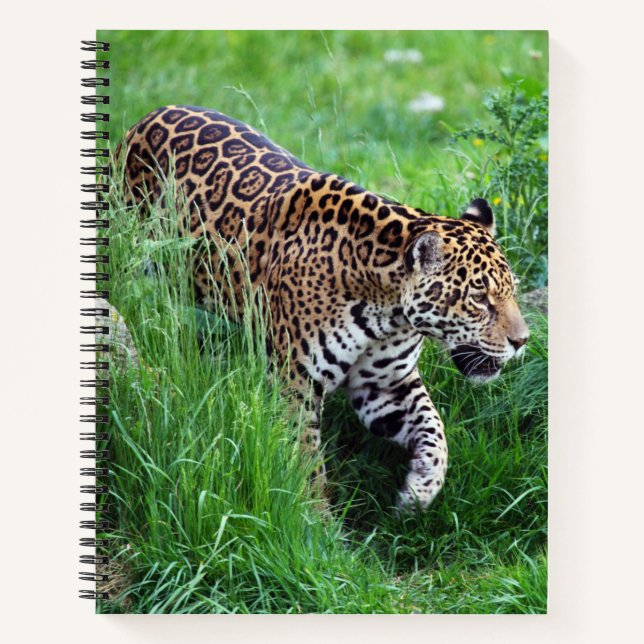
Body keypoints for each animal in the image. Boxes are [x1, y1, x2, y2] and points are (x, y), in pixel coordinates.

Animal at [121, 105, 529, 511]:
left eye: (512, 291)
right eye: (479, 298)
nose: (523, 341)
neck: (387, 311)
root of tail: (151, 114)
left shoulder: (386, 387)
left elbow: (434, 428)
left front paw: (421, 489)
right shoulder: (295, 385)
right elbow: (306, 460)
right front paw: (316, 518)